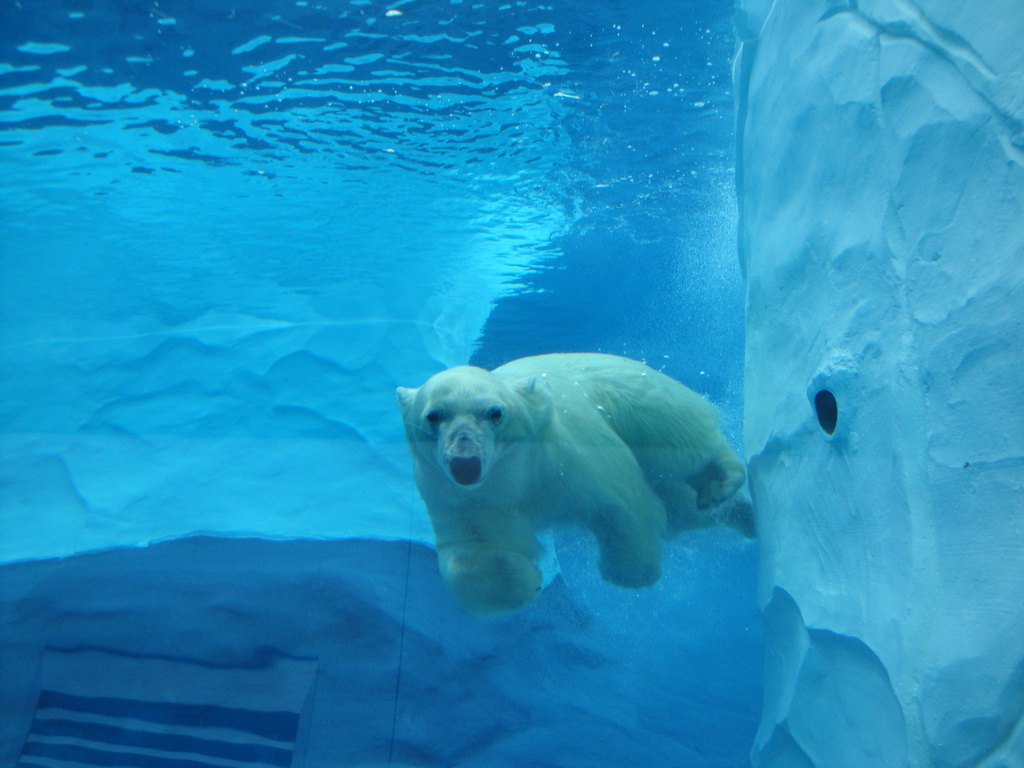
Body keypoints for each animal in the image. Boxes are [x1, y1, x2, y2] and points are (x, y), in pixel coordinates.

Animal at [396, 353, 751, 615]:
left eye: (495, 412)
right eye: (433, 415)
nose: (465, 462)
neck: (516, 473)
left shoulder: (564, 458)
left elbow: (618, 500)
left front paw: (631, 573)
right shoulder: (465, 497)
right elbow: (473, 550)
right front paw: (527, 581)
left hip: (628, 389)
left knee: (675, 435)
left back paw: (722, 482)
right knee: (685, 510)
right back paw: (734, 511)